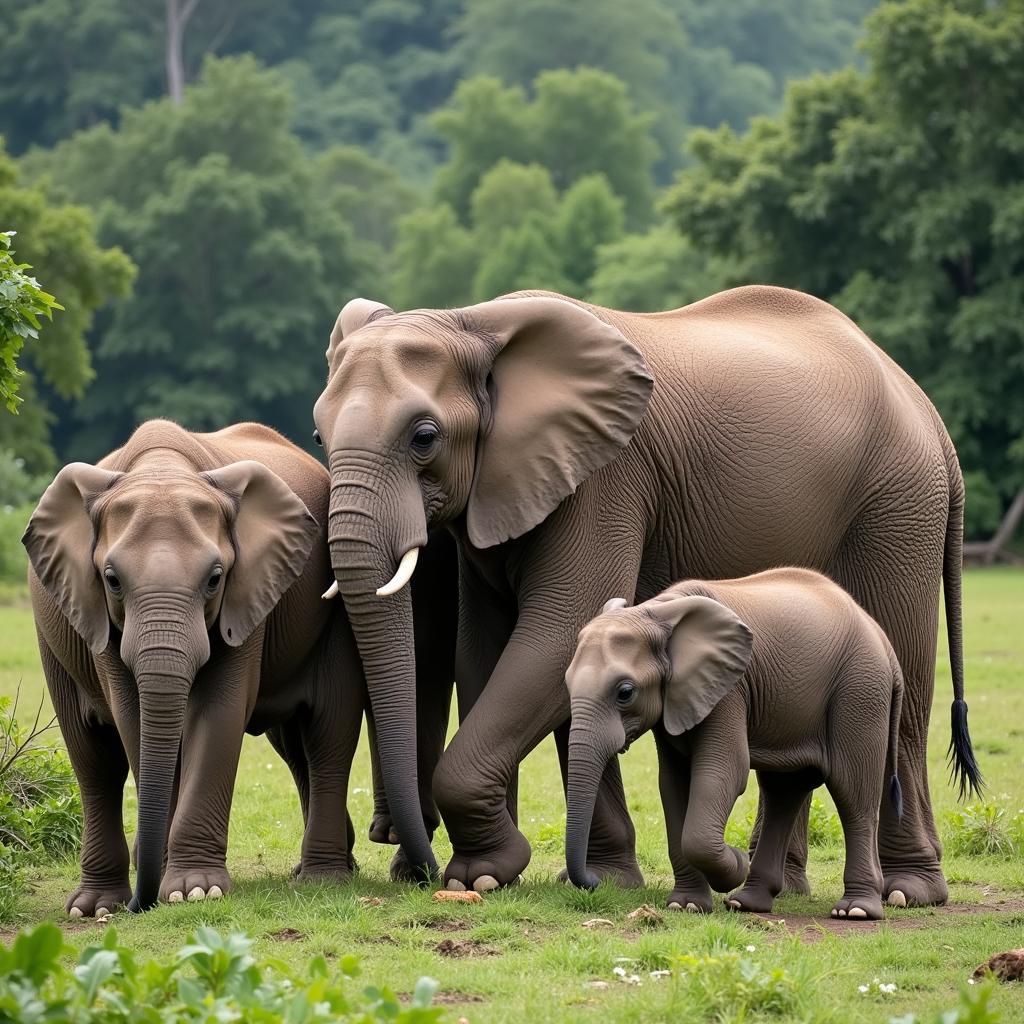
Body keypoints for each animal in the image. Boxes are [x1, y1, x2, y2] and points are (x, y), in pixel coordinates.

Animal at [561, 569, 905, 921]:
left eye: (625, 692)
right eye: (566, 683)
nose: (593, 882)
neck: (656, 613)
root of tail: (884, 643)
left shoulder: (730, 690)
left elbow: (723, 772)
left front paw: (736, 864)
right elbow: (673, 784)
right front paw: (686, 905)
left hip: (859, 689)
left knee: (852, 792)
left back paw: (855, 911)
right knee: (784, 790)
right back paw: (747, 903)